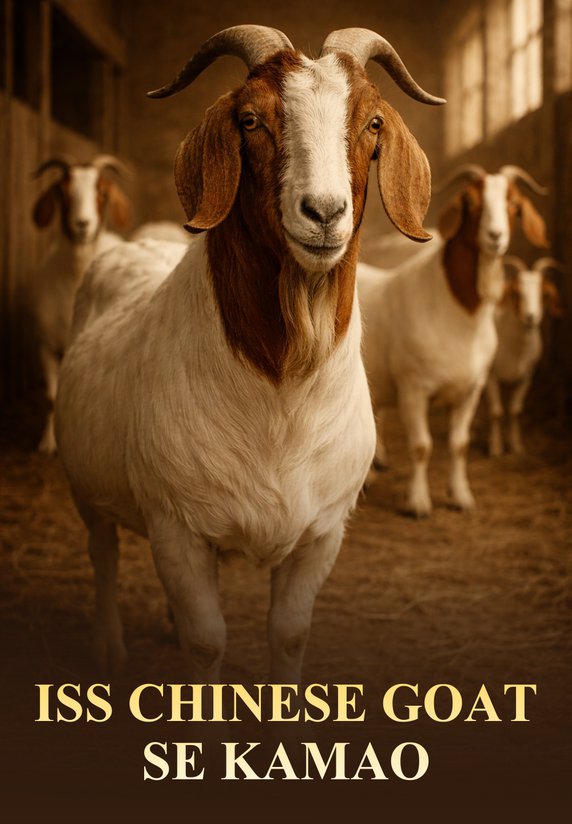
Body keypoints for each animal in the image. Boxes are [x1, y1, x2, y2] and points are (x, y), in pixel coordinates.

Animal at [32, 155, 132, 453]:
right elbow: (51, 398)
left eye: (101, 193)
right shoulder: (46, 346)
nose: (82, 224)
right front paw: (48, 443)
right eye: (62, 192)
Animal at [55, 25, 442, 681]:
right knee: (102, 553)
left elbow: (288, 634)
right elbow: (206, 642)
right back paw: (108, 647)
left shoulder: (322, 533)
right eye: (251, 119)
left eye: (372, 123)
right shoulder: (177, 526)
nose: (324, 213)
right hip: (86, 487)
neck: (283, 390)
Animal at [359, 164, 548, 517]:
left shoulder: (472, 389)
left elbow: (459, 445)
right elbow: (421, 446)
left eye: (514, 204)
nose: (495, 237)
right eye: (469, 203)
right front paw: (418, 502)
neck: (459, 316)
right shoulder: (413, 388)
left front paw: (460, 496)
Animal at [487, 256, 565, 456]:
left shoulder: (526, 377)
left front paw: (516, 446)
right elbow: (496, 411)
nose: (531, 317)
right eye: (516, 293)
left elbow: (515, 410)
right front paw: (496, 448)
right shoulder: (491, 375)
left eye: (544, 294)